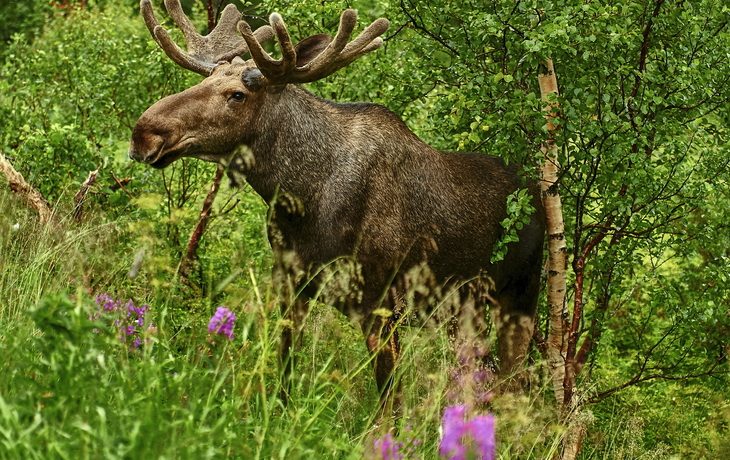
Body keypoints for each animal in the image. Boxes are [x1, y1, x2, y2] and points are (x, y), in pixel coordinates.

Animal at [128, 0, 544, 410]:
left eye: (237, 95)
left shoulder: (379, 301)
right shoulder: (291, 283)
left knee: (514, 383)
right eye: (204, 80)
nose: (144, 132)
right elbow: (285, 370)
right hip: (462, 309)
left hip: (519, 296)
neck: (300, 199)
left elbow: (389, 400)